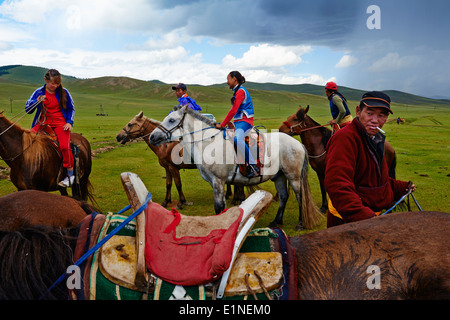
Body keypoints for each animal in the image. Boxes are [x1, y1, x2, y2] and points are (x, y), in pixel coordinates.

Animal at [114, 111, 244, 209]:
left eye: (130, 124)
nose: (118, 136)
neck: (165, 145)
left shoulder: (173, 168)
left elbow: (178, 184)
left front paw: (181, 202)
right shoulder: (167, 168)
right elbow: (168, 184)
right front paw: (166, 201)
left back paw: (236, 199)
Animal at [149, 105, 322, 230]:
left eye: (171, 120)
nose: (152, 137)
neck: (209, 143)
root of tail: (297, 143)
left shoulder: (218, 181)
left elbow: (218, 207)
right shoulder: (217, 183)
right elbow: (222, 208)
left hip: (293, 176)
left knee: (300, 197)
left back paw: (300, 224)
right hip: (278, 176)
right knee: (284, 196)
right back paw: (276, 222)